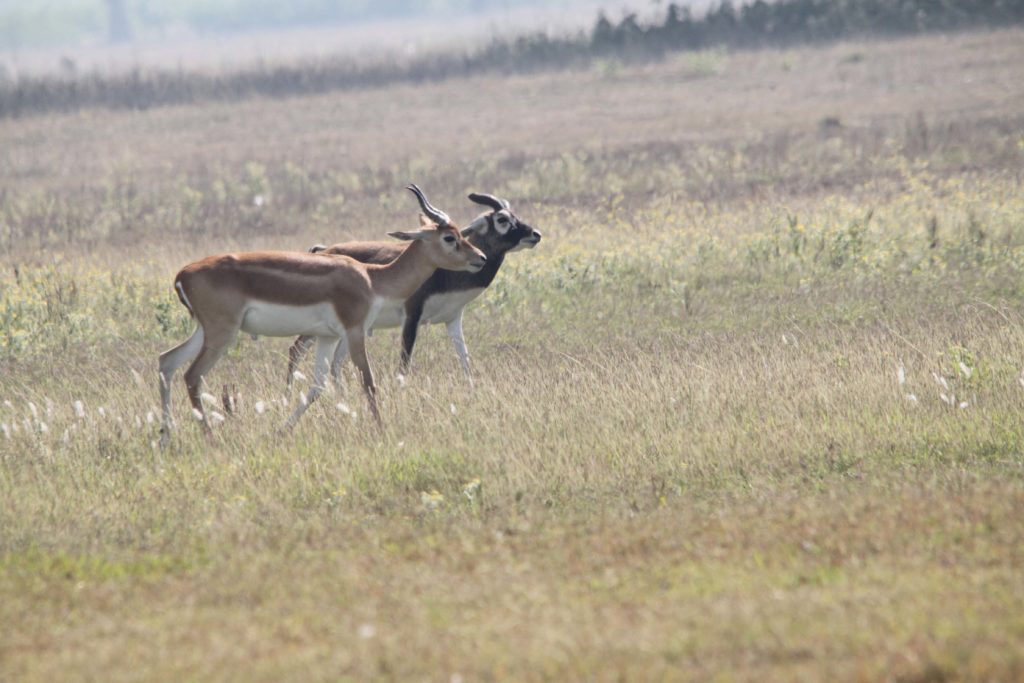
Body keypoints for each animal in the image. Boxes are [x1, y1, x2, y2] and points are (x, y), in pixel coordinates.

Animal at [157, 181, 485, 440]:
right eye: (449, 237)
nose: (480, 258)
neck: (372, 278)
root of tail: (183, 274)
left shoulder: (327, 337)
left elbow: (317, 386)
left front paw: (282, 430)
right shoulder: (355, 331)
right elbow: (368, 381)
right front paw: (381, 430)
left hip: (204, 331)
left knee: (166, 362)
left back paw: (166, 436)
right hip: (221, 333)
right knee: (192, 376)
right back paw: (209, 437)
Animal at [286, 192, 540, 387]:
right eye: (502, 219)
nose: (535, 234)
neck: (444, 273)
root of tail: (323, 250)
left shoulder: (453, 318)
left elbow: (464, 359)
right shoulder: (411, 316)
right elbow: (404, 363)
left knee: (335, 364)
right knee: (296, 349)